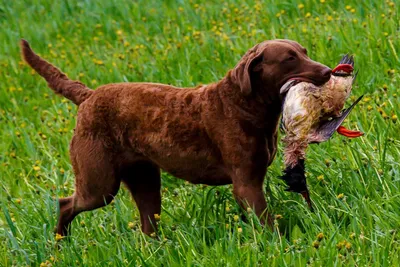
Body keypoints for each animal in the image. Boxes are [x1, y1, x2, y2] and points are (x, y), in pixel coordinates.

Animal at [20, 38, 330, 236]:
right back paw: (60, 244)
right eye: (290, 59)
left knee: (147, 229)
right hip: (99, 185)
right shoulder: (246, 184)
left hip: (144, 180)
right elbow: (265, 223)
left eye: (304, 51)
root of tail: (88, 96)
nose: (328, 71)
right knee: (65, 204)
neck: (242, 104)